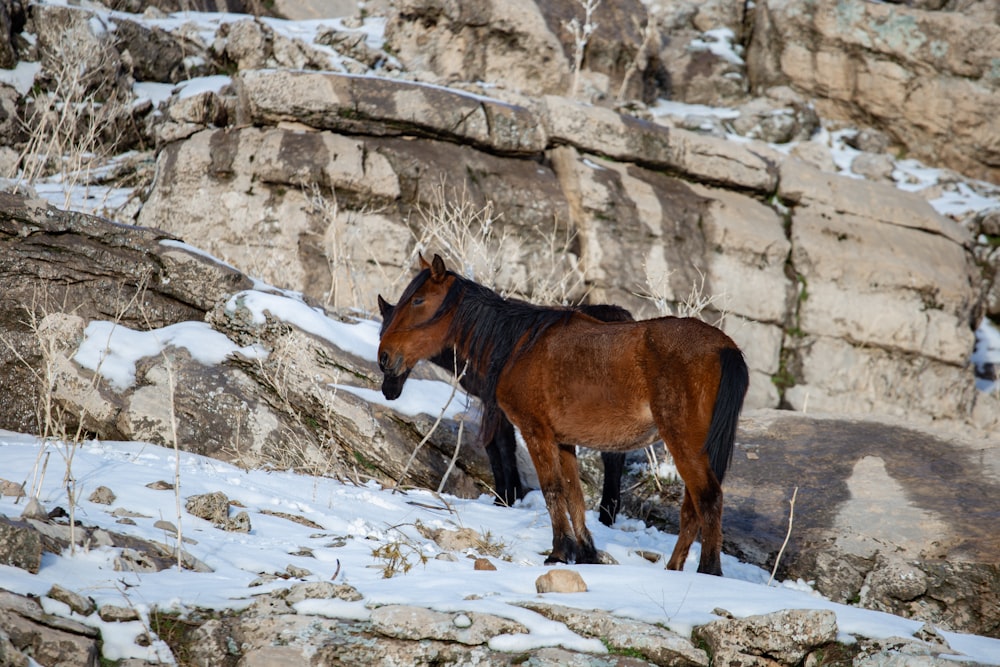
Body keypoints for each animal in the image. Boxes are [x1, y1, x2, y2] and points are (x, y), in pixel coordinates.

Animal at [376, 298, 632, 528]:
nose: (388, 390)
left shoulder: (494, 403)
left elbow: (500, 446)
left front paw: (507, 498)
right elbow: (497, 446)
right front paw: (508, 495)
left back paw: (606, 515)